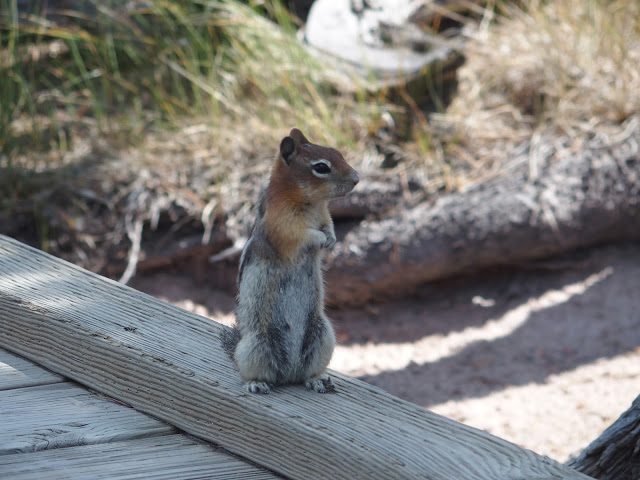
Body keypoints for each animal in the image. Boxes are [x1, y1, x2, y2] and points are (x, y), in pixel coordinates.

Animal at [222, 128, 359, 394]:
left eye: (337, 152)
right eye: (321, 167)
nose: (357, 178)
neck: (312, 204)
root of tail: (288, 373)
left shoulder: (324, 215)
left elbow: (329, 225)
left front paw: (331, 238)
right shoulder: (284, 228)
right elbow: (304, 236)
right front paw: (321, 239)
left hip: (323, 335)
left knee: (306, 374)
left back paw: (316, 380)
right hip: (255, 347)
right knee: (259, 372)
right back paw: (257, 384)